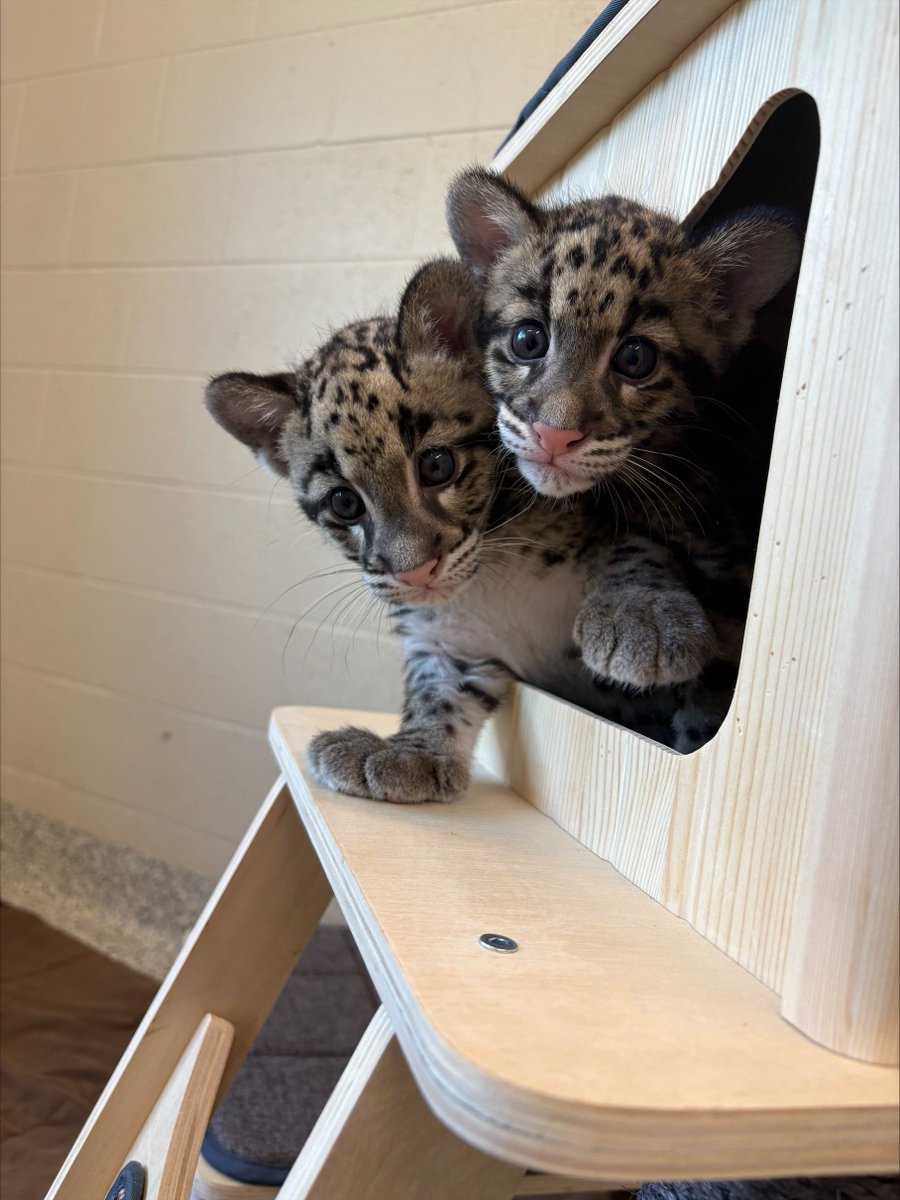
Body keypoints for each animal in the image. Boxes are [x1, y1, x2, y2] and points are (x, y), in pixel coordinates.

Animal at [205, 258, 698, 806]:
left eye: (437, 465)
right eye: (344, 503)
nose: (415, 572)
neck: (492, 573)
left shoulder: (607, 514)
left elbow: (632, 548)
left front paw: (643, 620)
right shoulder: (444, 638)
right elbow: (436, 689)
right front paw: (411, 752)